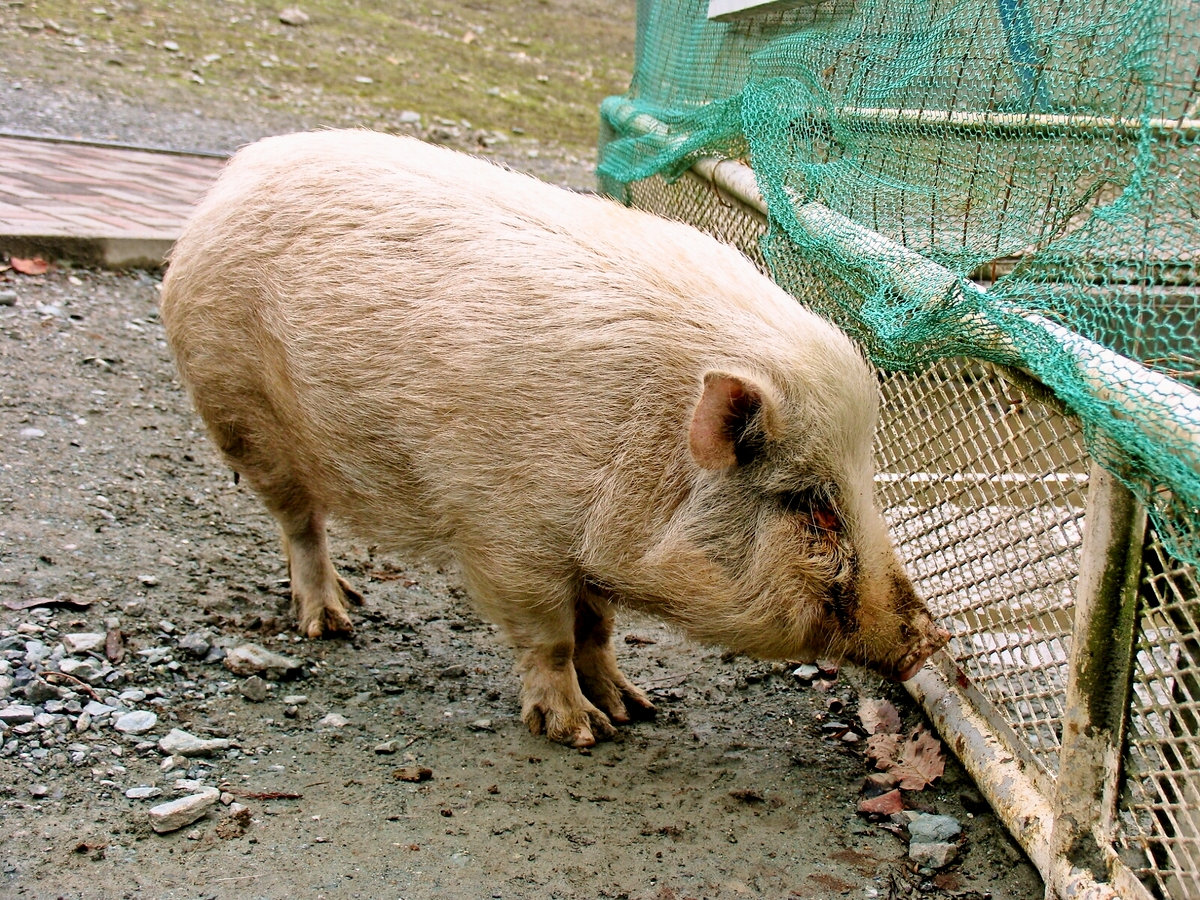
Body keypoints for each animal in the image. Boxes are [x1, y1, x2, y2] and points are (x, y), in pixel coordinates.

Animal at [157, 130, 945, 748]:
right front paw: (580, 733)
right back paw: (332, 624)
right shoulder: (506, 536)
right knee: (299, 523)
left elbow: (598, 629)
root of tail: (234, 173)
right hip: (235, 411)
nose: (931, 641)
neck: (648, 447)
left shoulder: (587, 553)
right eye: (812, 504)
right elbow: (553, 636)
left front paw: (637, 709)